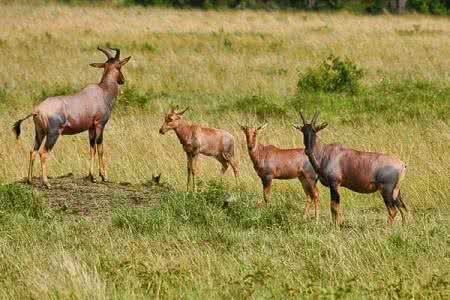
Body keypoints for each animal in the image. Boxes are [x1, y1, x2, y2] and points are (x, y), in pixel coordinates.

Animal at [12, 47, 131, 188]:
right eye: (119, 66)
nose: (122, 80)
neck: (102, 92)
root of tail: (37, 110)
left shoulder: (91, 127)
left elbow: (92, 149)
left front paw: (92, 176)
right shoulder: (100, 125)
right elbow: (100, 148)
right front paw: (104, 176)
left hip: (39, 132)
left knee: (32, 151)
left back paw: (30, 180)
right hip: (53, 134)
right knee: (43, 153)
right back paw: (47, 183)